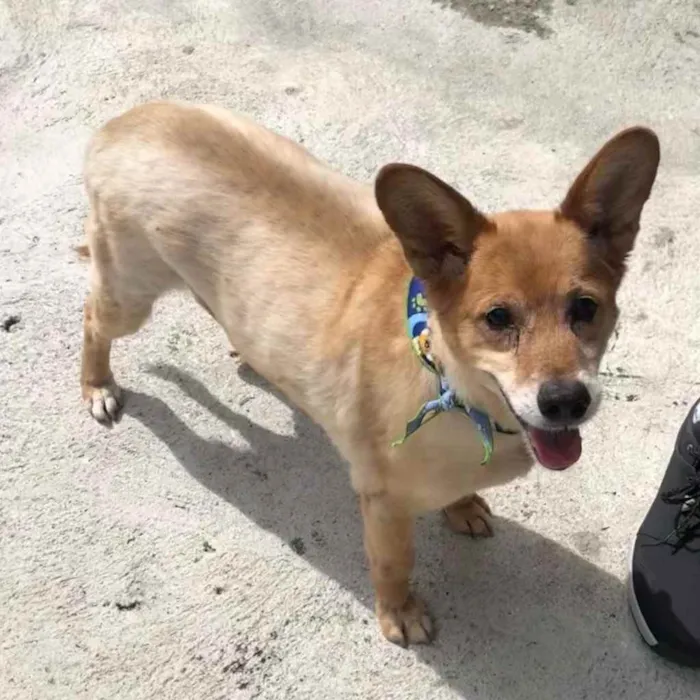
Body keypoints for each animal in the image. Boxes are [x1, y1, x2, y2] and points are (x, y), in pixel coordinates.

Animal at [79, 102, 660, 644]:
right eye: (498, 319)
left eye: (585, 308)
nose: (565, 401)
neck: (449, 384)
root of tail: (129, 119)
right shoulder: (385, 504)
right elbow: (393, 564)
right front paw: (399, 613)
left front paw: (462, 506)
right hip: (129, 297)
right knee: (92, 319)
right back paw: (97, 386)